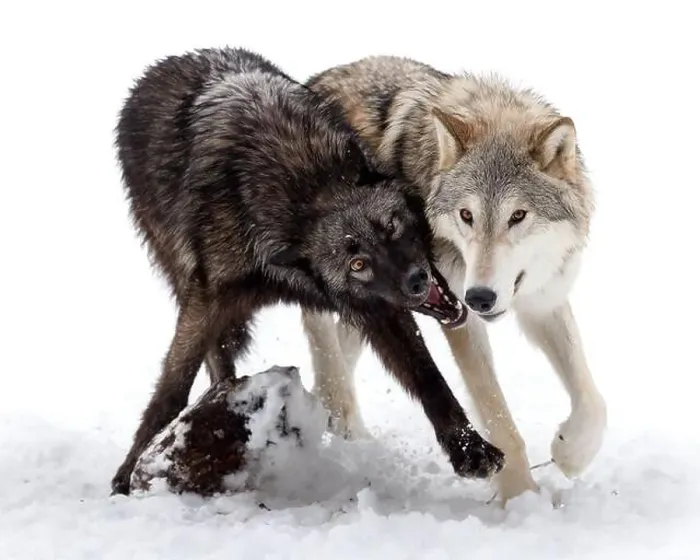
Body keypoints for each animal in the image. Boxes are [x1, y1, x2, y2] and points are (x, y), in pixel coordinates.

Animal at [110, 47, 505, 495]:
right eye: (357, 264)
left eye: (391, 227)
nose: (416, 280)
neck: (310, 193)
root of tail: (164, 64)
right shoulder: (208, 298)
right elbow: (172, 386)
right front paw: (130, 470)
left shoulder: (378, 310)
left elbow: (428, 378)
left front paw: (470, 450)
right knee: (217, 358)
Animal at [302, 55, 606, 502]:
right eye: (467, 215)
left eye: (518, 216)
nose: (479, 297)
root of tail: (316, 78)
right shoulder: (459, 316)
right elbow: (499, 419)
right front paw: (520, 498)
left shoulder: (542, 301)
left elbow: (593, 402)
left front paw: (569, 453)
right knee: (322, 337)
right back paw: (339, 420)